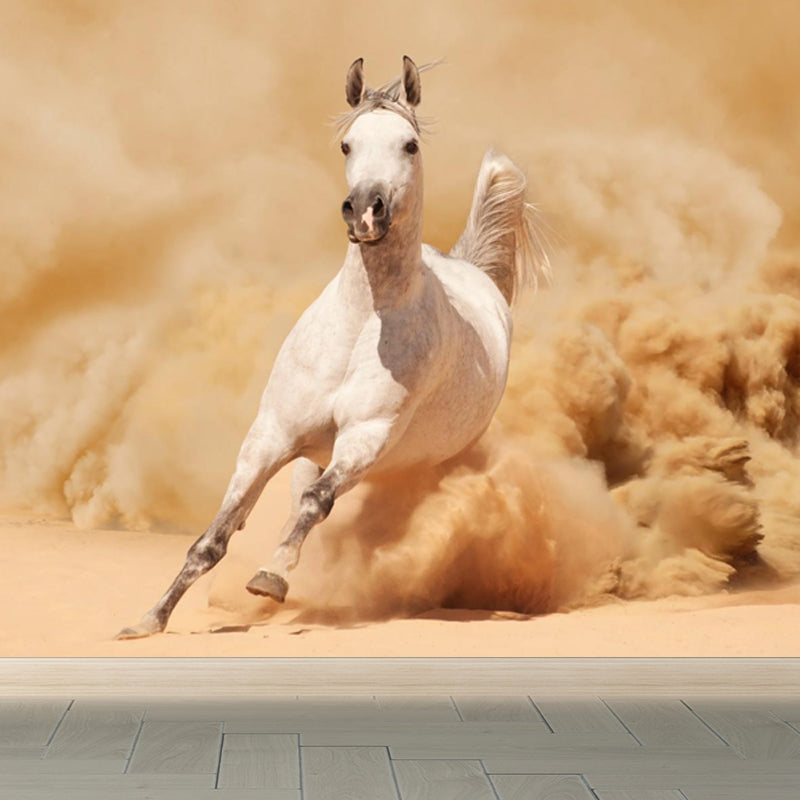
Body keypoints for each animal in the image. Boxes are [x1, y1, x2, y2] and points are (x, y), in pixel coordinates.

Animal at [116, 56, 550, 639]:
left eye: (410, 145)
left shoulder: (365, 438)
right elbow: (215, 537)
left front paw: (271, 576)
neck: (361, 328)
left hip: (420, 461)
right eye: (347, 144)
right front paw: (149, 620)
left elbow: (316, 503)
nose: (365, 210)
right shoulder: (271, 436)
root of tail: (472, 270)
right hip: (313, 452)